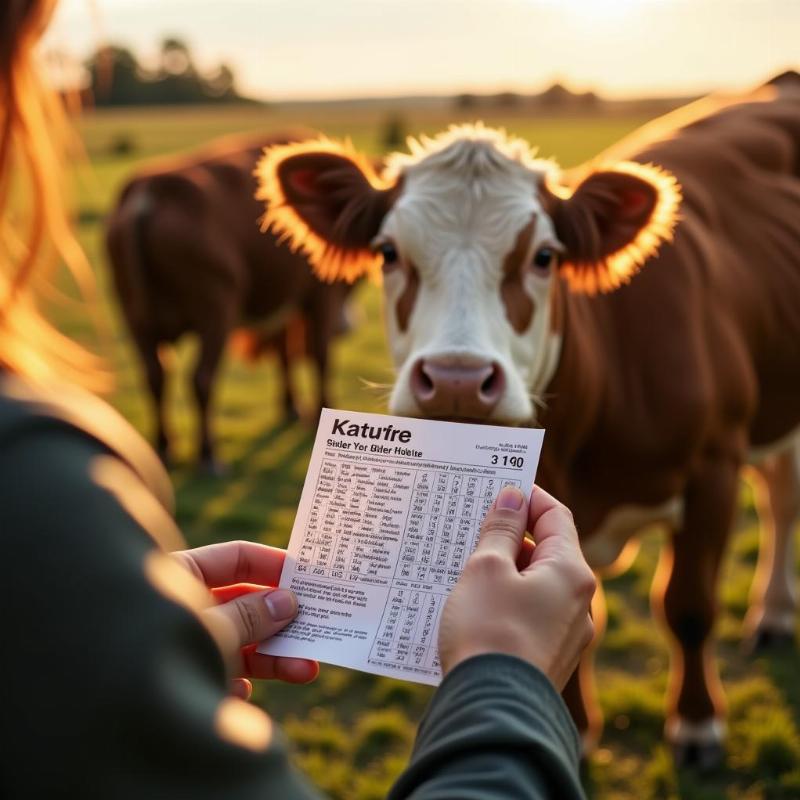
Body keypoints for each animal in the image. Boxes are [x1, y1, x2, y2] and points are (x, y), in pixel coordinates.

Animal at [106, 134, 354, 472]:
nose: (347, 326)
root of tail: (149, 192)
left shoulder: (282, 301)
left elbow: (284, 351)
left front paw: (290, 406)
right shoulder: (319, 296)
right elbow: (320, 354)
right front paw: (320, 411)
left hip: (135, 319)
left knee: (155, 376)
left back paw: (164, 446)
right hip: (216, 311)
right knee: (201, 378)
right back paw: (209, 454)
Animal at [253, 76, 800, 768]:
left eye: (543, 256)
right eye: (388, 252)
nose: (457, 379)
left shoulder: (714, 467)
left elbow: (689, 606)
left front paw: (699, 725)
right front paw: (573, 729)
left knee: (781, 502)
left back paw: (773, 614)